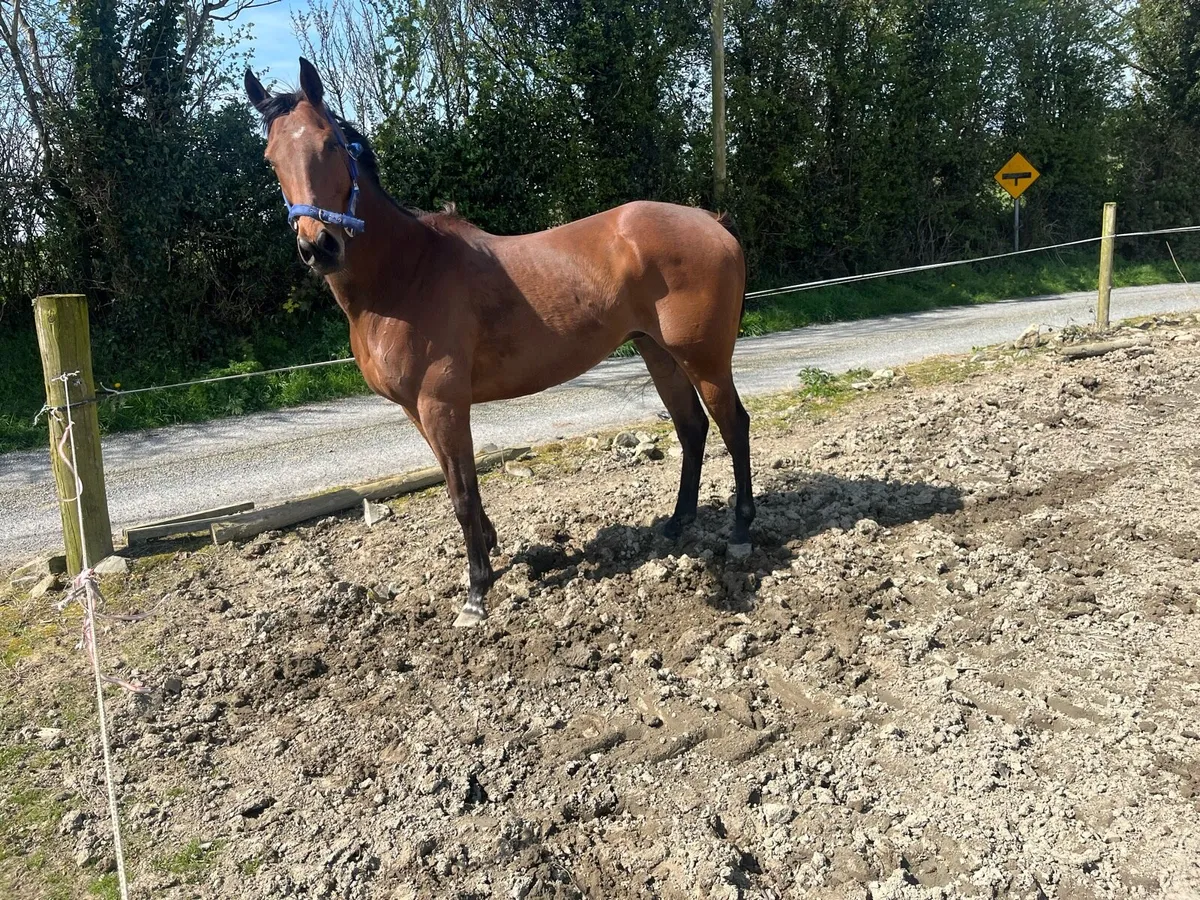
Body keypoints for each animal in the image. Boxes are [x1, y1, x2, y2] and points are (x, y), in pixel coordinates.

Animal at [244, 59, 755, 627]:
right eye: (271, 159)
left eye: (330, 144)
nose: (319, 246)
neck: (405, 277)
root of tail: (708, 220)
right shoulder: (418, 410)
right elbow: (456, 481)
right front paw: (488, 550)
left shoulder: (442, 402)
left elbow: (462, 494)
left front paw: (476, 593)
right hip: (657, 352)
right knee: (692, 428)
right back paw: (676, 523)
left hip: (703, 358)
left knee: (733, 425)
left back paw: (740, 531)